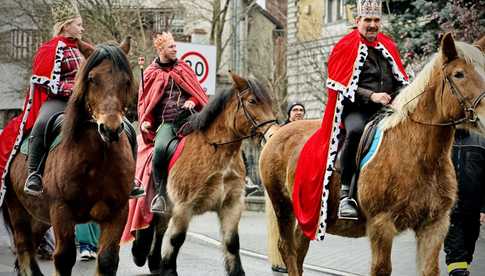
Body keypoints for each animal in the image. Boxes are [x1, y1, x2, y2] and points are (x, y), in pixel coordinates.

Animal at [3, 37, 136, 276]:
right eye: (92, 79)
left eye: (126, 80)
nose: (110, 129)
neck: (99, 159)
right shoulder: (61, 211)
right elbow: (64, 258)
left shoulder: (118, 211)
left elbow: (107, 260)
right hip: (17, 207)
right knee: (24, 247)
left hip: (39, 215)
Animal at [130, 72, 276, 274]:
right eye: (252, 101)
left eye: (270, 100)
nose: (272, 133)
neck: (215, 149)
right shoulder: (184, 206)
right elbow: (176, 240)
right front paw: (168, 269)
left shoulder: (231, 204)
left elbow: (231, 243)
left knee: (159, 228)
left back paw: (153, 262)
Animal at [260, 33, 484, 276]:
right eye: (459, 74)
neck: (417, 154)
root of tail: (277, 134)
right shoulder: (381, 224)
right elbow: (381, 269)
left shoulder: (435, 225)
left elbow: (430, 269)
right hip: (282, 206)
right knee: (287, 248)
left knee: (299, 249)